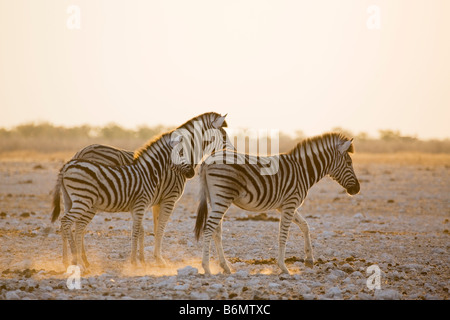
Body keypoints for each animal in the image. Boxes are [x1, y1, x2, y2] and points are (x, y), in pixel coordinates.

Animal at [51, 112, 234, 268]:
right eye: (224, 136)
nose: (232, 154)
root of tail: (75, 156)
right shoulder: (169, 199)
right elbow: (159, 229)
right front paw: (157, 260)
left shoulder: (154, 201)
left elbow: (150, 229)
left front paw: (145, 259)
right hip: (88, 200)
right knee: (74, 224)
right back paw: (77, 261)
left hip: (75, 199)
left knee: (73, 225)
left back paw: (71, 260)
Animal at [195, 132, 360, 276]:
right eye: (349, 163)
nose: (357, 189)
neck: (303, 170)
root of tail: (207, 160)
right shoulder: (290, 204)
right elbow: (283, 235)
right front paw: (283, 267)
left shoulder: (285, 206)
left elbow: (305, 226)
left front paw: (309, 260)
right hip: (223, 196)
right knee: (209, 228)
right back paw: (206, 267)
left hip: (216, 199)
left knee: (217, 231)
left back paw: (225, 267)